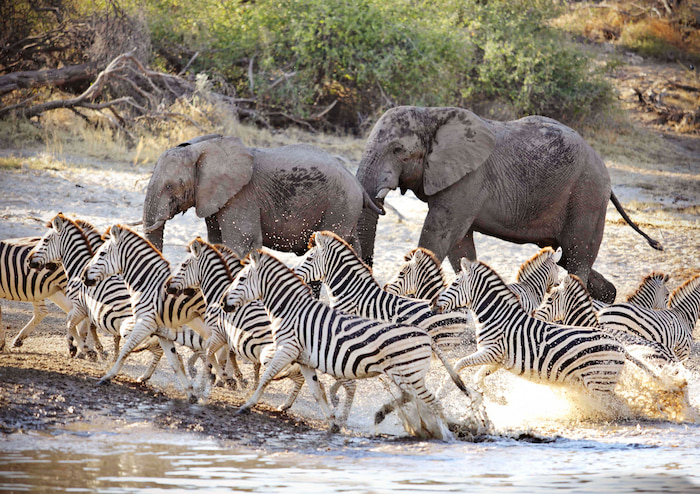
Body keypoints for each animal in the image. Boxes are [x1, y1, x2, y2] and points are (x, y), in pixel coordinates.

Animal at [82, 224, 211, 403]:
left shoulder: (145, 323)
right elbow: (174, 362)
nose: (83, 276)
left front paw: (108, 376)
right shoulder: (162, 331)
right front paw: (190, 394)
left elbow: (127, 349)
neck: (147, 284)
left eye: (101, 253)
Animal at [166, 238, 358, 420]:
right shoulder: (228, 339)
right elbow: (219, 356)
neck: (217, 293)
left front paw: (219, 380)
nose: (167, 287)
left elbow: (210, 356)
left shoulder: (219, 334)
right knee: (313, 382)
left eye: (183, 265)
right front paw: (227, 379)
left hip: (280, 356)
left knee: (318, 381)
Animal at [222, 250, 488, 436]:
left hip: (409, 374)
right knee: (411, 398)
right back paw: (386, 415)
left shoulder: (288, 348)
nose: (223, 303)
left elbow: (267, 376)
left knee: (432, 402)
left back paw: (444, 435)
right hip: (404, 375)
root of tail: (427, 337)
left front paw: (247, 404)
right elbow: (316, 391)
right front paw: (332, 423)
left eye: (242, 279)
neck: (291, 310)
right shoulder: (304, 358)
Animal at [433, 258, 658, 399]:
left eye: (454, 283)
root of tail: (619, 345)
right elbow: (478, 377)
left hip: (599, 383)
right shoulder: (497, 359)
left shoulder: (492, 352)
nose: (434, 304)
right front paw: (497, 399)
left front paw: (444, 391)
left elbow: (459, 364)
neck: (498, 317)